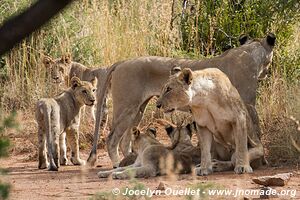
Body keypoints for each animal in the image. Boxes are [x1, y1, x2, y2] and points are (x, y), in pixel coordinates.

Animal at [88, 33, 276, 167]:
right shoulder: (249, 103)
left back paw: (132, 159)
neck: (252, 52)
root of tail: (122, 62)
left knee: (126, 140)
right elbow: (256, 130)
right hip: (127, 107)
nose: (267, 73)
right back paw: (117, 164)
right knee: (112, 139)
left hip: (138, 109)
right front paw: (262, 161)